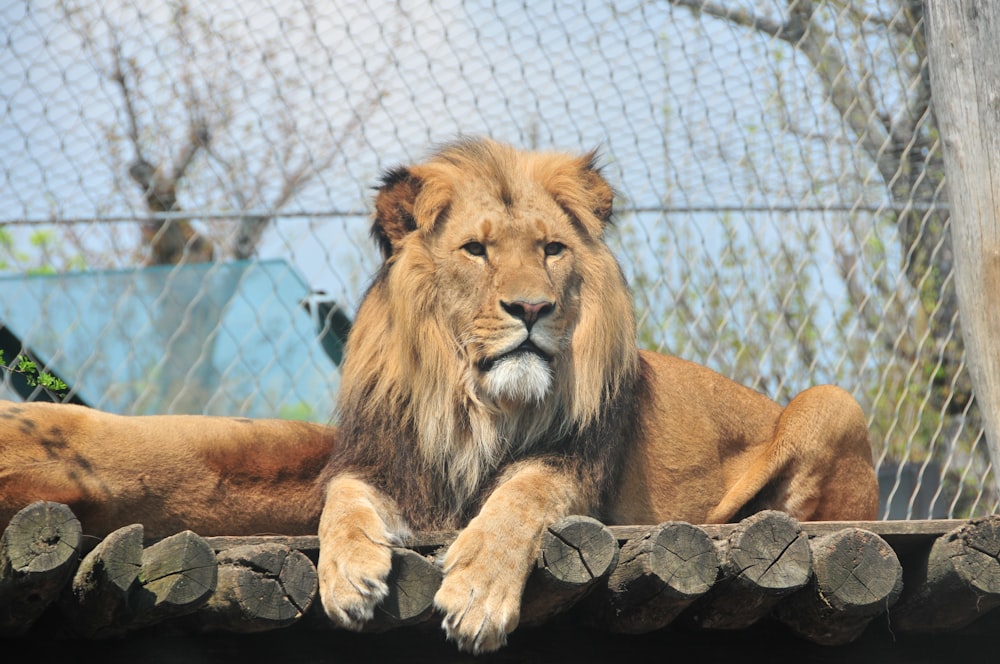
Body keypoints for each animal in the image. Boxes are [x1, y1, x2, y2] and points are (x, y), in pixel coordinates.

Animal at [0, 136, 876, 652]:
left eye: (551, 250)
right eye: (478, 251)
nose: (533, 310)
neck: (473, 401)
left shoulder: (572, 467)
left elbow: (516, 500)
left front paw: (476, 595)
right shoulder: (385, 461)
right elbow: (341, 504)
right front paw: (347, 574)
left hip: (834, 400)